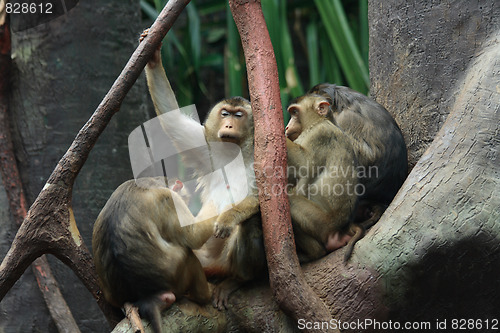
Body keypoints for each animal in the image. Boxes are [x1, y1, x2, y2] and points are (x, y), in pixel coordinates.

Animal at [93, 178, 214, 332]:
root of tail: (145, 295)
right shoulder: (168, 198)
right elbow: (194, 236)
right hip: (177, 281)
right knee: (187, 255)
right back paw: (204, 295)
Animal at [284, 93, 362, 262]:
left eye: (294, 112)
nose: (287, 126)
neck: (320, 121)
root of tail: (342, 228)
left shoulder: (320, 134)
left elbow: (303, 165)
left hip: (322, 223)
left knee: (291, 201)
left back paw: (314, 253)